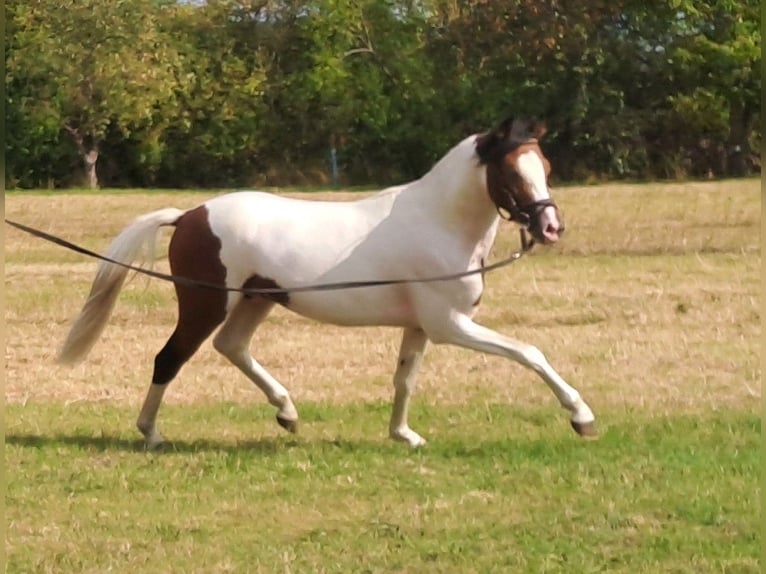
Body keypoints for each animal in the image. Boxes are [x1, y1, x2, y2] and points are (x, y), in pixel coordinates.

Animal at [59, 117, 596, 449]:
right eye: (512, 171)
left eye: (545, 168)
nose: (551, 228)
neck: (437, 222)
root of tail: (189, 215)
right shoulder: (451, 325)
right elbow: (530, 352)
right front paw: (581, 417)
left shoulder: (421, 327)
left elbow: (404, 379)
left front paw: (404, 435)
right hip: (205, 305)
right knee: (169, 358)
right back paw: (150, 433)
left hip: (255, 302)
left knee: (232, 347)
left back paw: (287, 413)